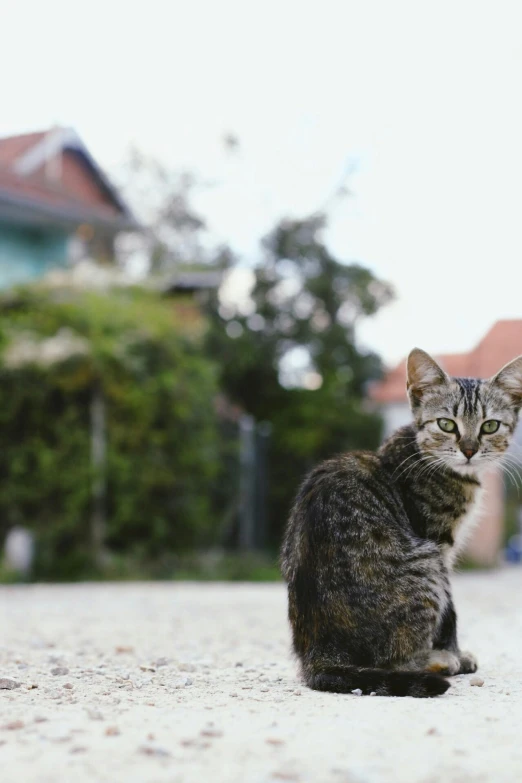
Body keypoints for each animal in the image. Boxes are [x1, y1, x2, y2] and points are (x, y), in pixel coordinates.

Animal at [280, 350, 520, 700]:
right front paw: (456, 653)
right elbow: (450, 613)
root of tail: (320, 653)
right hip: (425, 563)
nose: (470, 450)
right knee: (393, 661)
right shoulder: (438, 542)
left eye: (490, 426)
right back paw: (437, 661)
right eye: (447, 424)